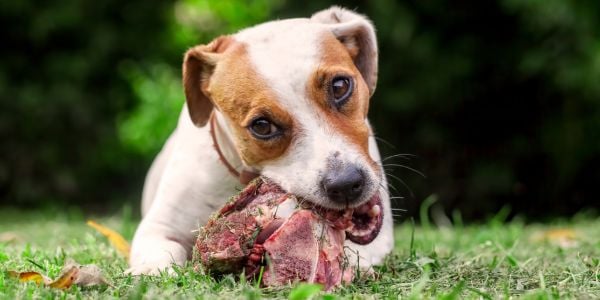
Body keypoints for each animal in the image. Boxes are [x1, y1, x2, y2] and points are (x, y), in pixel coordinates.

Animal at [127, 5, 394, 276]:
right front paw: (151, 270)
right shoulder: (160, 227)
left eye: (340, 86)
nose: (346, 184)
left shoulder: (380, 237)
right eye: (262, 126)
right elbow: (159, 258)